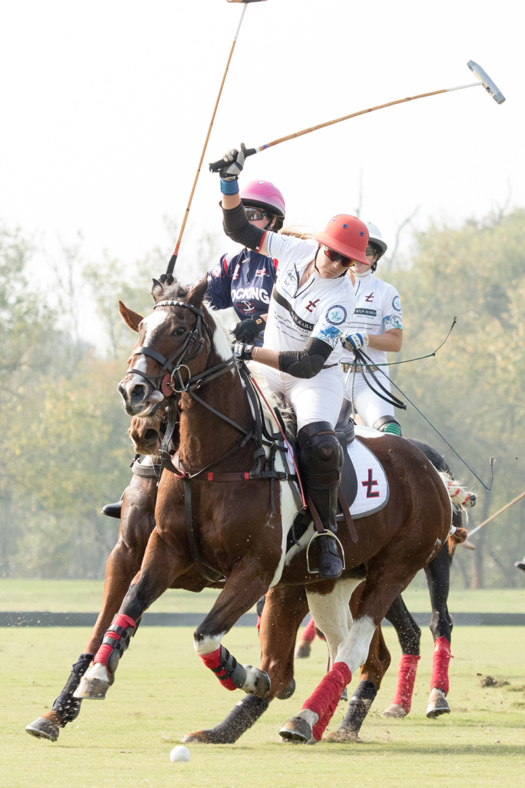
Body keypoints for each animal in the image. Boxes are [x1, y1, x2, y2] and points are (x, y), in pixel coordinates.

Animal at [29, 280, 462, 748]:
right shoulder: (154, 551)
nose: (134, 393)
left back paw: (312, 716)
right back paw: (277, 725)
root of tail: (428, 466)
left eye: (179, 330)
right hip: (325, 582)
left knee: (367, 643)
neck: (213, 459)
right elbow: (121, 612)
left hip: (396, 567)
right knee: (343, 651)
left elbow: (206, 634)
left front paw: (245, 675)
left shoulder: (256, 567)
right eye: (141, 328)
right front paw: (82, 688)